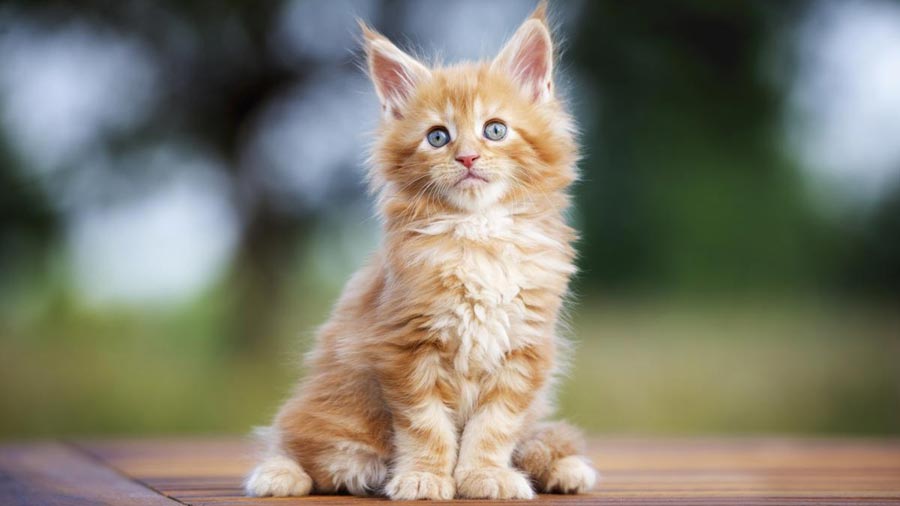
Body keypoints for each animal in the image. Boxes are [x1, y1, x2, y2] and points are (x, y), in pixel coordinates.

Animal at [246, 2, 596, 502]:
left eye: (495, 130)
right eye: (437, 137)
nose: (467, 157)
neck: (478, 234)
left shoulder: (524, 349)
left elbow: (494, 427)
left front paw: (484, 475)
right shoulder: (406, 347)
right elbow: (426, 426)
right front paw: (425, 477)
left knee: (535, 439)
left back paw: (562, 467)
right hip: (329, 418)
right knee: (302, 449)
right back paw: (280, 474)